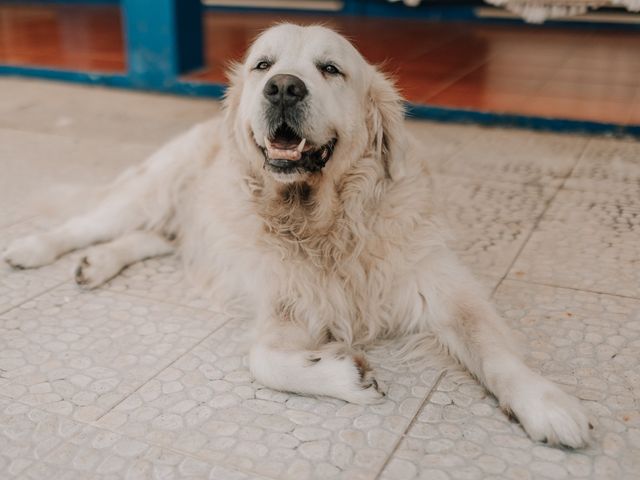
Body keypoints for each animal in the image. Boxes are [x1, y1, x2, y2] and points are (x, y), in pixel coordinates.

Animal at [1, 25, 592, 446]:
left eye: (330, 68)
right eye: (263, 64)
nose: (283, 87)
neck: (325, 223)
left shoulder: (441, 287)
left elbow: (493, 348)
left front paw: (545, 403)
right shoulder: (283, 304)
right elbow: (263, 361)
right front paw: (346, 376)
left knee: (152, 238)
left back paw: (96, 264)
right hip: (149, 191)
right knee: (86, 224)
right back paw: (34, 249)